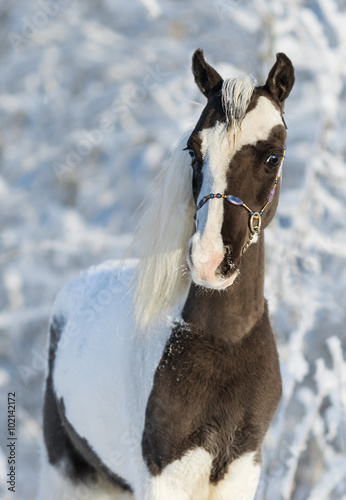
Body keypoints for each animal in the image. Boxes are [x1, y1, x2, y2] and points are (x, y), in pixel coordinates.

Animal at [39, 47, 294, 500]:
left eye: (272, 156)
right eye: (194, 151)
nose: (209, 259)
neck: (223, 342)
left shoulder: (242, 469)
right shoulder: (163, 476)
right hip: (64, 475)